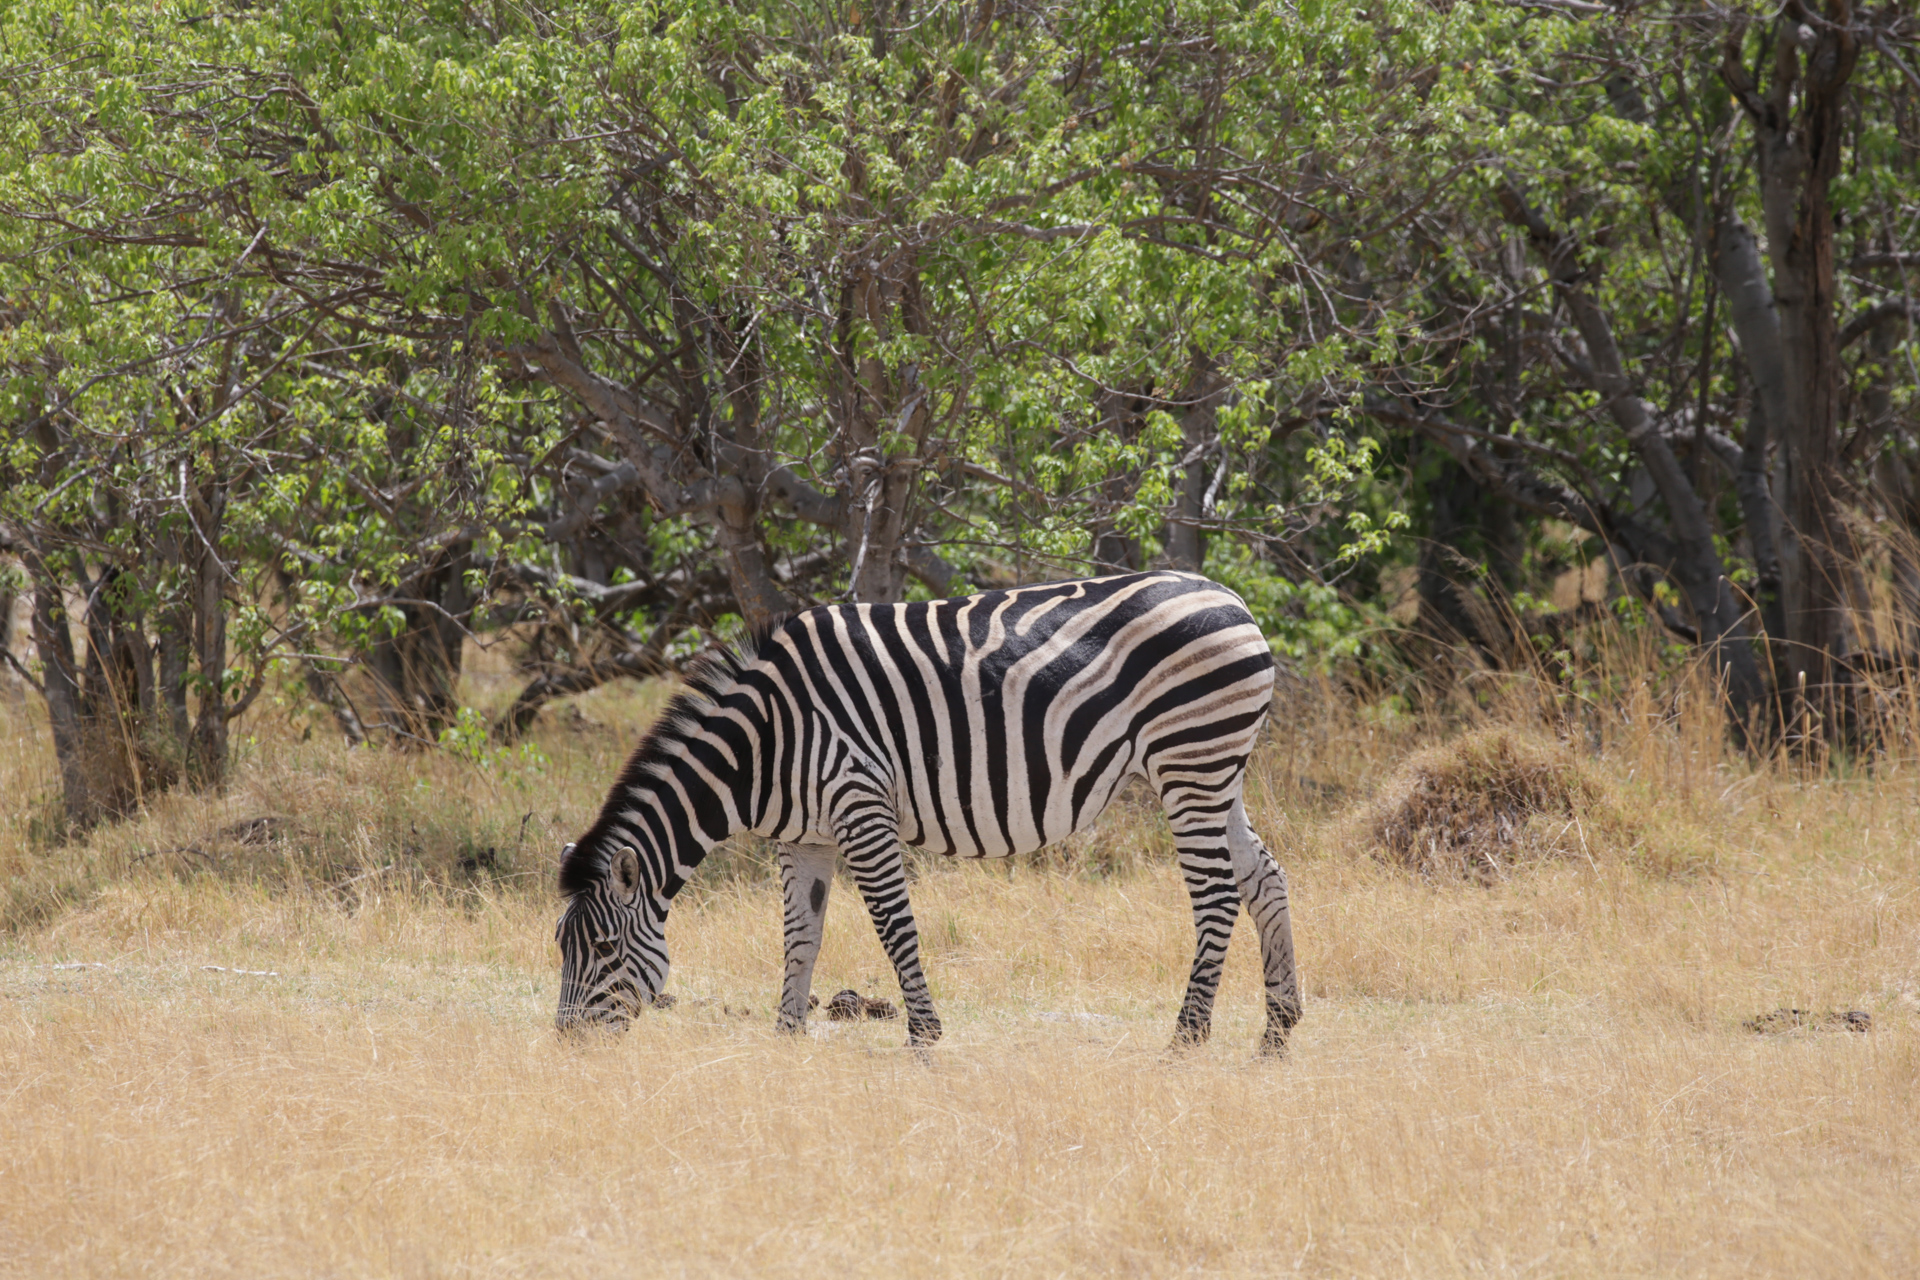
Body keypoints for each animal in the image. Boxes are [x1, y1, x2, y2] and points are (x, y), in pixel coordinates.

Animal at [556, 571, 1305, 1051]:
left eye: (603, 949)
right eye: (561, 948)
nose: (567, 1045)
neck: (764, 744)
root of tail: (1230, 595)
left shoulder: (860, 803)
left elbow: (894, 925)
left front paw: (923, 1034)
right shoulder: (804, 837)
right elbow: (801, 935)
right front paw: (786, 1034)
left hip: (1188, 760)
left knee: (1216, 894)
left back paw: (1187, 1036)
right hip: (1216, 769)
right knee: (1264, 877)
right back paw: (1277, 1031)